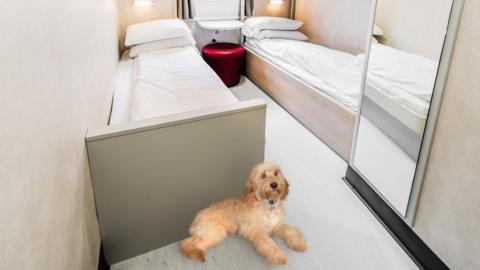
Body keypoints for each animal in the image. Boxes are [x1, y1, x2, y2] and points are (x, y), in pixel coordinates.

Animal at [180, 161, 308, 264]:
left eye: (276, 173)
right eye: (263, 176)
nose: (274, 184)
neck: (268, 205)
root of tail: (197, 217)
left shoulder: (277, 225)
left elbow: (290, 230)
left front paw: (299, 243)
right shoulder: (256, 230)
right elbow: (268, 243)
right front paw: (278, 257)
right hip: (214, 232)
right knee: (187, 243)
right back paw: (195, 253)